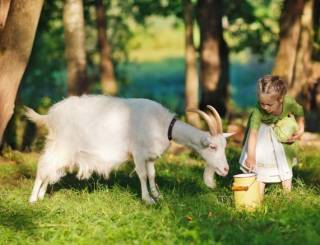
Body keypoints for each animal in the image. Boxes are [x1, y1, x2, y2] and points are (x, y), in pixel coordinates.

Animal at [25, 94, 234, 204]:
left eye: (224, 146)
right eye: (213, 146)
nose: (226, 169)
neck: (162, 124)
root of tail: (50, 115)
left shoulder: (149, 156)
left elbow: (152, 174)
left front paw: (157, 195)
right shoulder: (138, 152)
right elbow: (142, 175)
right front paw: (147, 199)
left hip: (61, 149)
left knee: (50, 169)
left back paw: (41, 195)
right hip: (62, 145)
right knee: (43, 166)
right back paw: (33, 199)